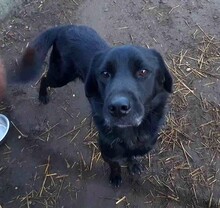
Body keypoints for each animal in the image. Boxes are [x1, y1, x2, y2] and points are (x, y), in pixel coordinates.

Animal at [17, 24, 172, 187]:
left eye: (142, 72)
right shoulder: (107, 151)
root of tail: (64, 27)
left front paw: (133, 165)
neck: (130, 133)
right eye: (104, 74)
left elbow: (132, 156)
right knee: (44, 78)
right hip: (61, 76)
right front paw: (115, 177)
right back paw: (42, 95)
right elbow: (115, 165)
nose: (118, 108)